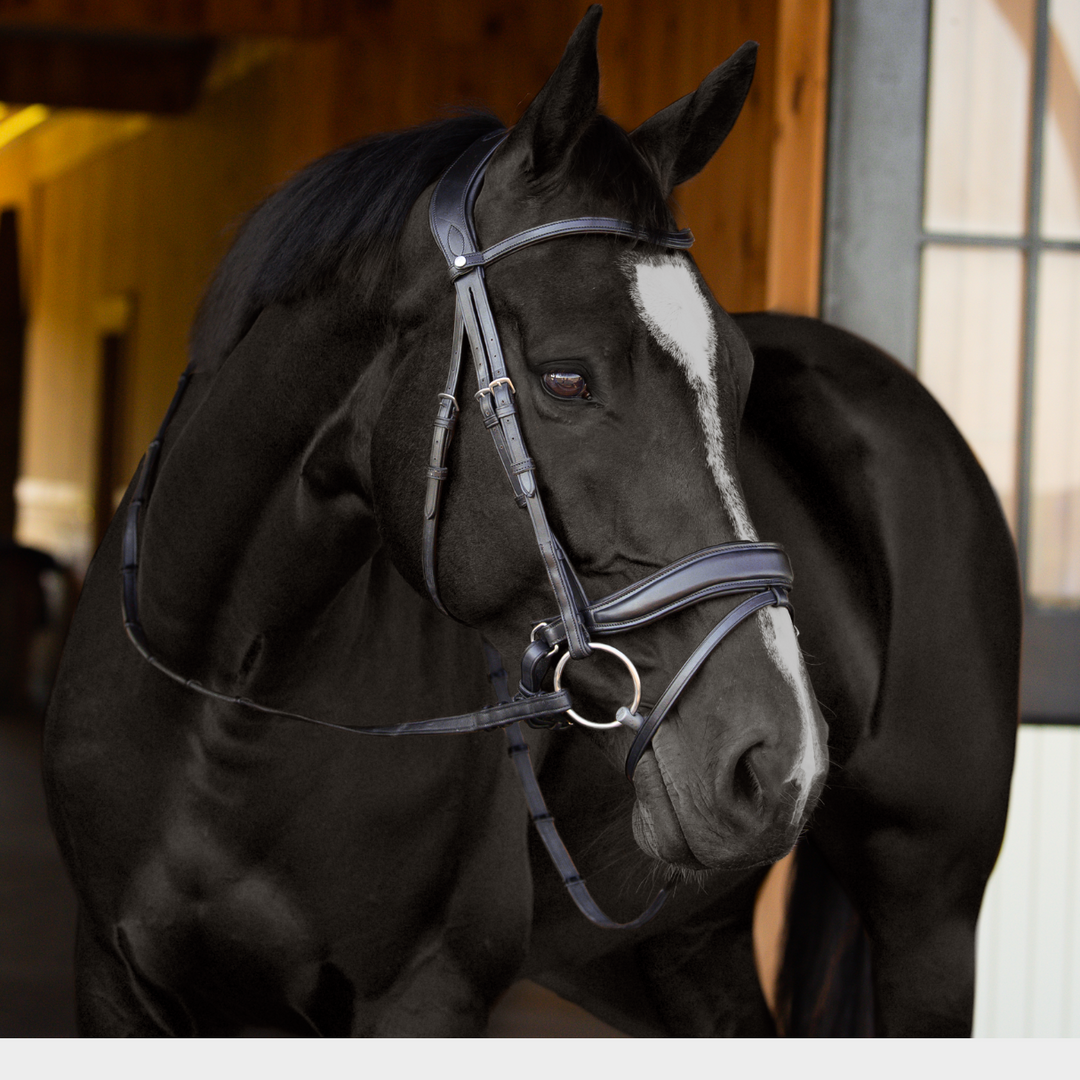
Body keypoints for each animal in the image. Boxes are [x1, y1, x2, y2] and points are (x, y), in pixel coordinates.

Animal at [44, 10, 1019, 1036]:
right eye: (565, 378)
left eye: (742, 381)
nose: (779, 759)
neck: (226, 704)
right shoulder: (114, 978)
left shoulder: (427, 989)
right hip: (682, 942)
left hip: (928, 918)